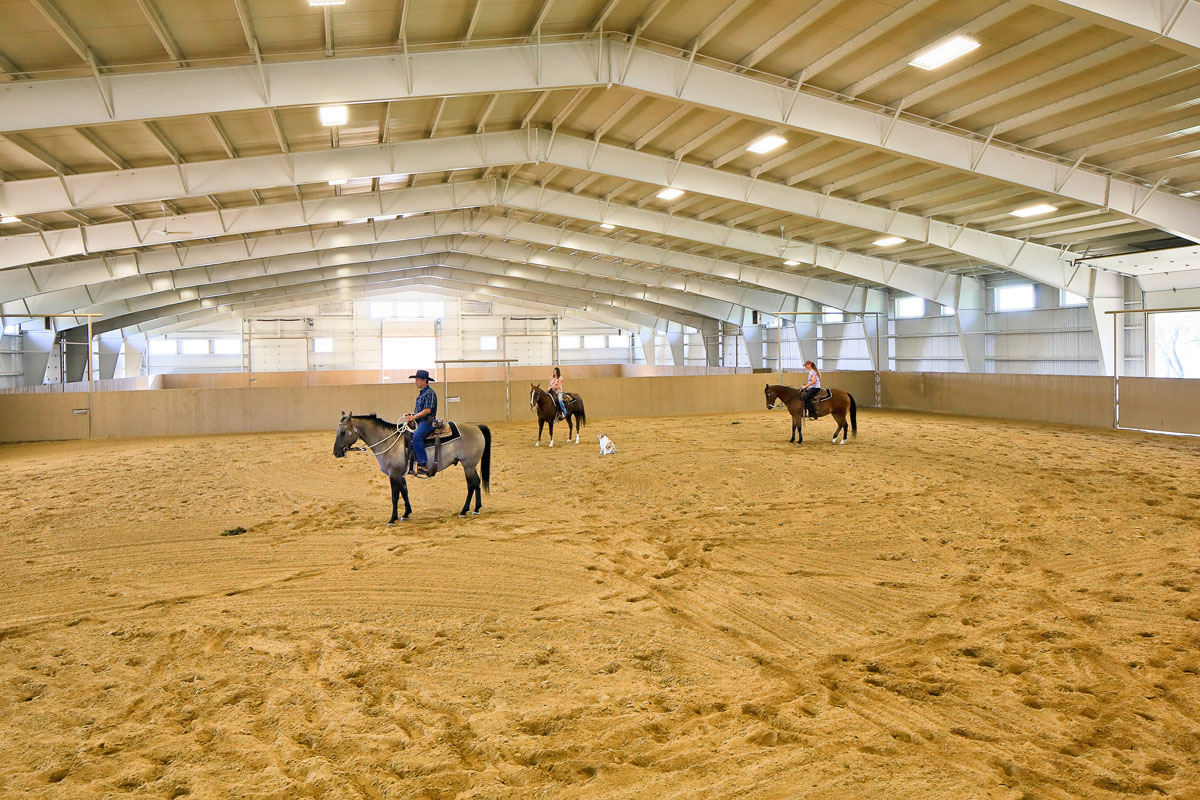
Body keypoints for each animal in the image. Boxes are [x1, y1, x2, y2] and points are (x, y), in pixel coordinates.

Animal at [332, 412, 491, 523]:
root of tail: (476, 427)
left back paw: (465, 510)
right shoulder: (400, 474)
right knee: (476, 483)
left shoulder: (394, 474)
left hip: (468, 465)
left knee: (471, 485)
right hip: (471, 466)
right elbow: (405, 492)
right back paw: (476, 508)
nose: (336, 453)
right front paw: (406, 514)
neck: (388, 441)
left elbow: (395, 496)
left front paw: (392, 519)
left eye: (343, 432)